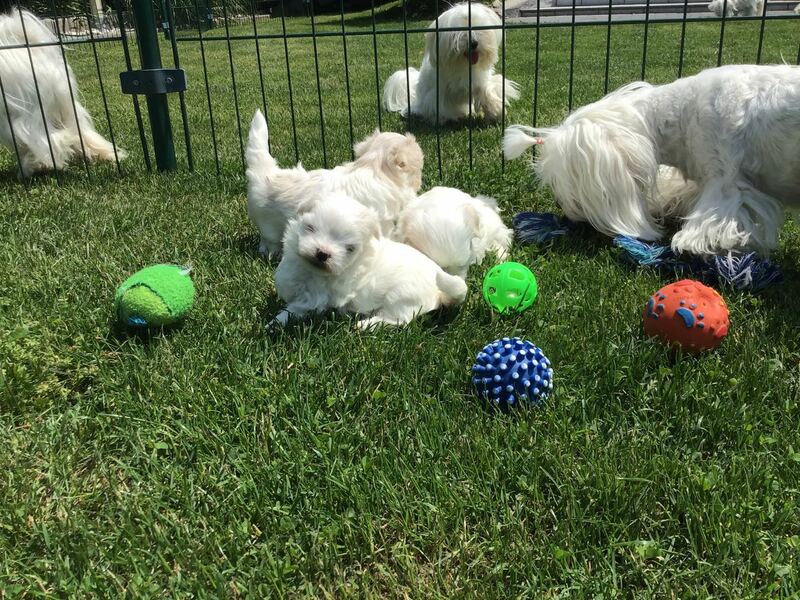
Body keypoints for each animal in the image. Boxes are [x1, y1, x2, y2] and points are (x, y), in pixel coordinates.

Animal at [0, 9, 124, 176]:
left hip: (22, 115)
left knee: (52, 139)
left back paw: (36, 166)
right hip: (66, 107)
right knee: (81, 132)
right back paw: (104, 155)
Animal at [246, 110, 423, 258]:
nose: (420, 183)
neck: (372, 166)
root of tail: (267, 174)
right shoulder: (381, 221)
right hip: (270, 226)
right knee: (269, 242)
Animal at [271, 193, 468, 328]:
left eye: (350, 248)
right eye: (310, 228)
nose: (322, 253)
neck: (312, 272)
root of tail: (438, 291)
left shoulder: (314, 298)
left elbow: (294, 310)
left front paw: (275, 323)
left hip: (401, 298)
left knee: (396, 320)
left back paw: (364, 325)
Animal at [383, 2, 519, 124]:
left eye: (478, 28)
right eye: (459, 32)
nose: (474, 43)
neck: (464, 65)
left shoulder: (481, 80)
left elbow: (487, 89)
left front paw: (495, 110)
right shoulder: (439, 92)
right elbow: (440, 106)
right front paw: (442, 119)